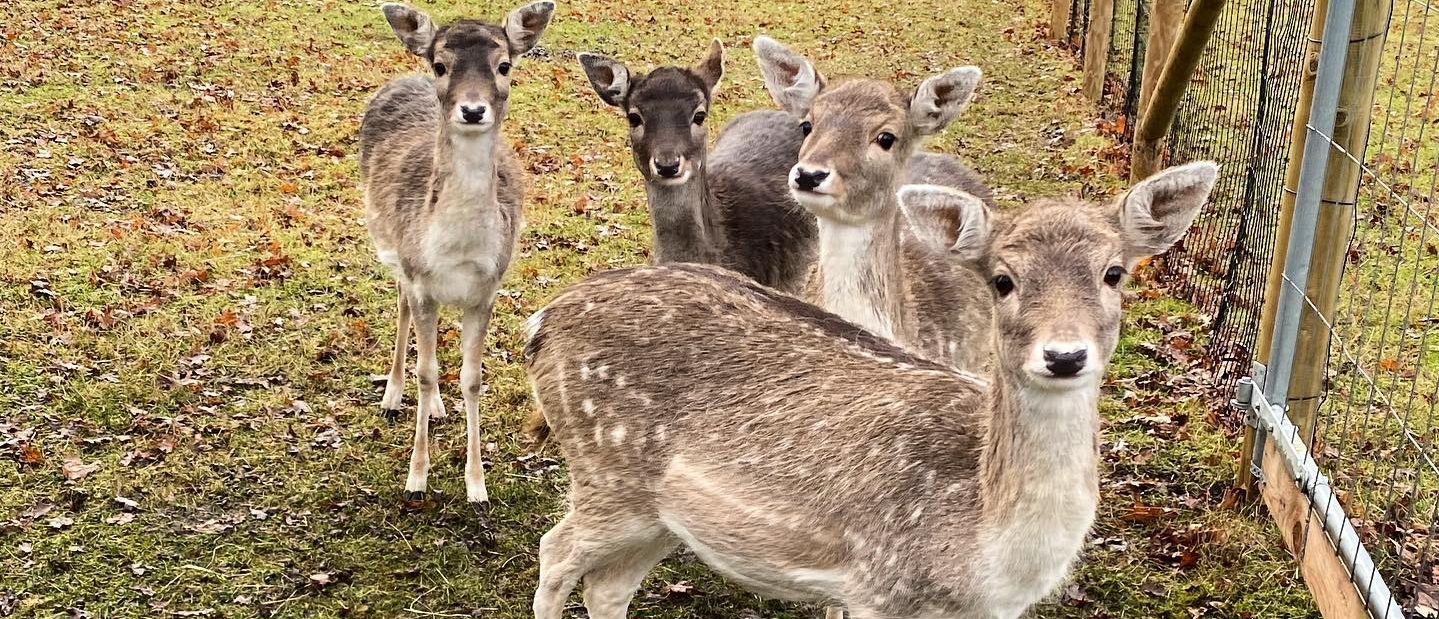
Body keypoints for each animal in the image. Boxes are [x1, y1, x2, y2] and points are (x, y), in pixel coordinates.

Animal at [358, 0, 555, 511]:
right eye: (442, 65)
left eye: (504, 65)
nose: (472, 109)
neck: (457, 248)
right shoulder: (419, 275)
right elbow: (426, 372)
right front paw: (416, 478)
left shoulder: (485, 289)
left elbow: (472, 379)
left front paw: (477, 487)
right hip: (392, 249)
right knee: (402, 307)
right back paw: (393, 396)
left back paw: (438, 408)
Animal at [522, 160, 1220, 619]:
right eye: (1002, 280)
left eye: (1114, 273)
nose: (1065, 355)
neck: (984, 558)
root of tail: (540, 323)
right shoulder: (876, 584)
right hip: (606, 472)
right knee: (554, 553)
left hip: (658, 512)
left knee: (607, 586)